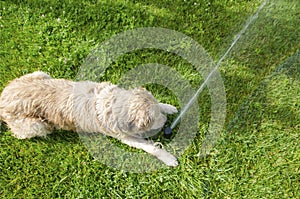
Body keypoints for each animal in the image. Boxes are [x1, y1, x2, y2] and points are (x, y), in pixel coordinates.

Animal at [0, 71, 178, 166]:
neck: (113, 103)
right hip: (36, 125)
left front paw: (168, 107)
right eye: (155, 119)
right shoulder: (125, 137)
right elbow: (150, 147)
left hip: (41, 74)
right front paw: (168, 158)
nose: (165, 123)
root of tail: (2, 99)